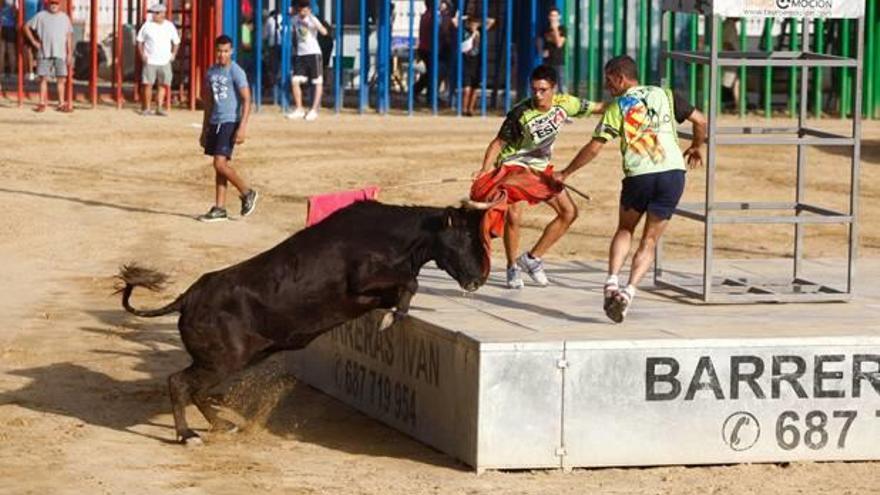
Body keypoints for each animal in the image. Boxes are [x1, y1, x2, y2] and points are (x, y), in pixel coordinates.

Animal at [117, 202, 488, 446]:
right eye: (468, 237)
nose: (480, 277)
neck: (395, 238)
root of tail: (187, 298)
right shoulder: (364, 278)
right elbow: (411, 281)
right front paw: (390, 319)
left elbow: (407, 286)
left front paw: (392, 315)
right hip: (222, 359)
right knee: (180, 383)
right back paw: (187, 435)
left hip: (235, 358)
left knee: (197, 389)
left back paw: (223, 426)